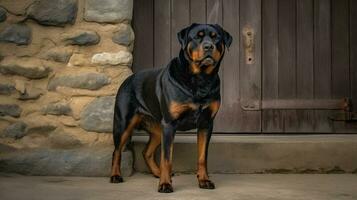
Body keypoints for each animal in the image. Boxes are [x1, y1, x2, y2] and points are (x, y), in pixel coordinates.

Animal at [110, 23, 231, 192]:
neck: (200, 78)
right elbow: (167, 158)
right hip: (124, 124)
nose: (208, 46)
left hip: (157, 129)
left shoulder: (206, 124)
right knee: (117, 151)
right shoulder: (169, 124)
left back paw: (157, 173)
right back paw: (116, 176)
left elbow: (202, 157)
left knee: (146, 152)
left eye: (216, 37)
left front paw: (204, 180)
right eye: (197, 37)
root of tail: (127, 79)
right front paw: (165, 184)